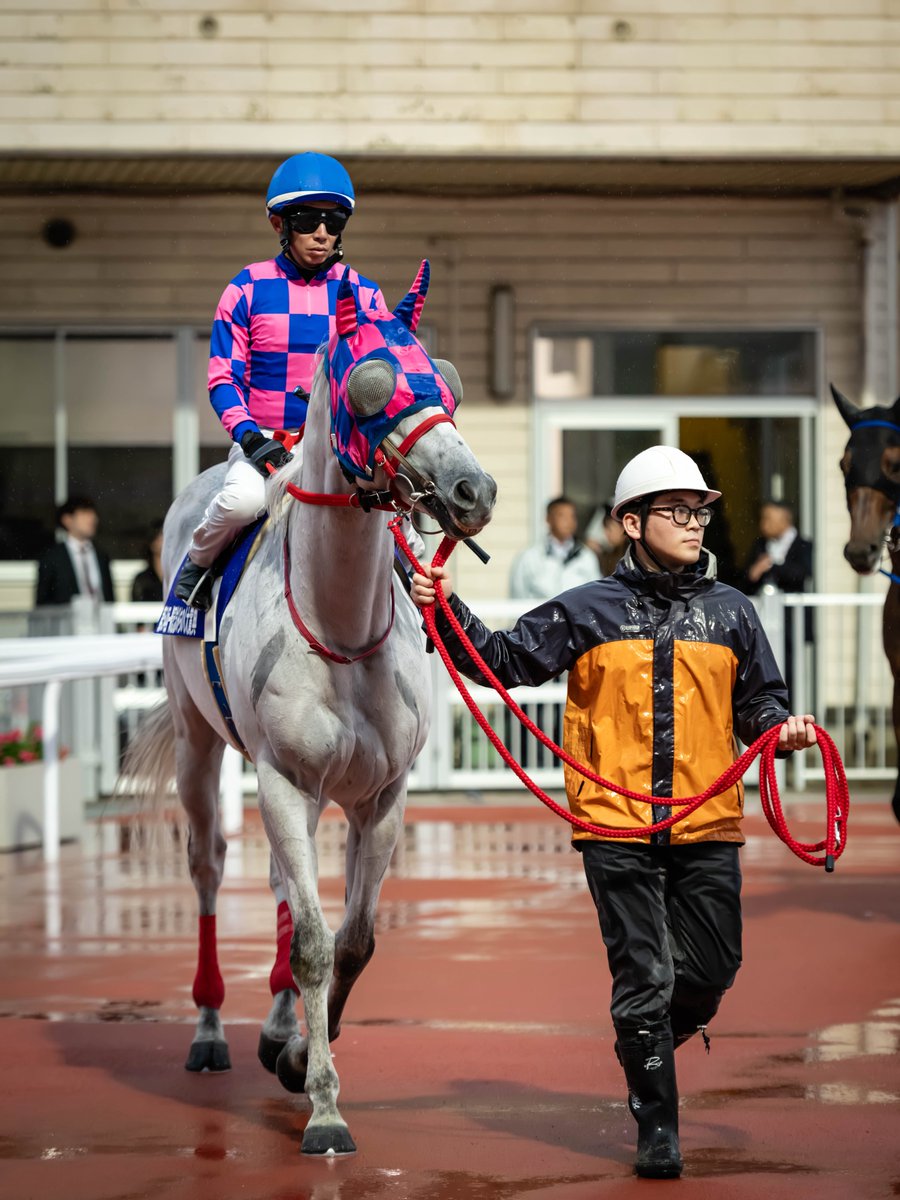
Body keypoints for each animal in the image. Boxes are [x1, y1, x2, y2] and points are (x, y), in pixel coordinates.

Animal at [123, 261, 497, 1154]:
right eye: (373, 385)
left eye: (448, 382)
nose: (473, 488)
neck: (340, 626)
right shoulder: (284, 781)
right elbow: (319, 944)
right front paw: (323, 1103)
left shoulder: (381, 794)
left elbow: (352, 939)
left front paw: (297, 1056)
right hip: (199, 743)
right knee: (210, 868)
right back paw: (212, 1029)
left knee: (282, 892)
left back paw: (274, 1028)